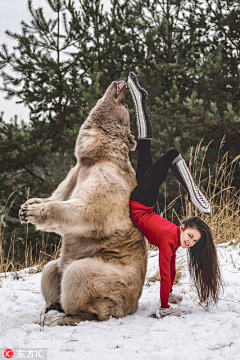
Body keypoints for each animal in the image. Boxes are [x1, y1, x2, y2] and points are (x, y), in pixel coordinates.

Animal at [19, 79, 148, 326]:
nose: (121, 82)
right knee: (51, 270)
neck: (95, 155)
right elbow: (60, 195)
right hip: (64, 265)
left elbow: (88, 209)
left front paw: (35, 210)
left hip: (113, 278)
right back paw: (52, 305)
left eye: (126, 105)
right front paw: (26, 205)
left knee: (79, 274)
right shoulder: (74, 173)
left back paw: (69, 315)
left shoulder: (107, 176)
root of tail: (133, 305)